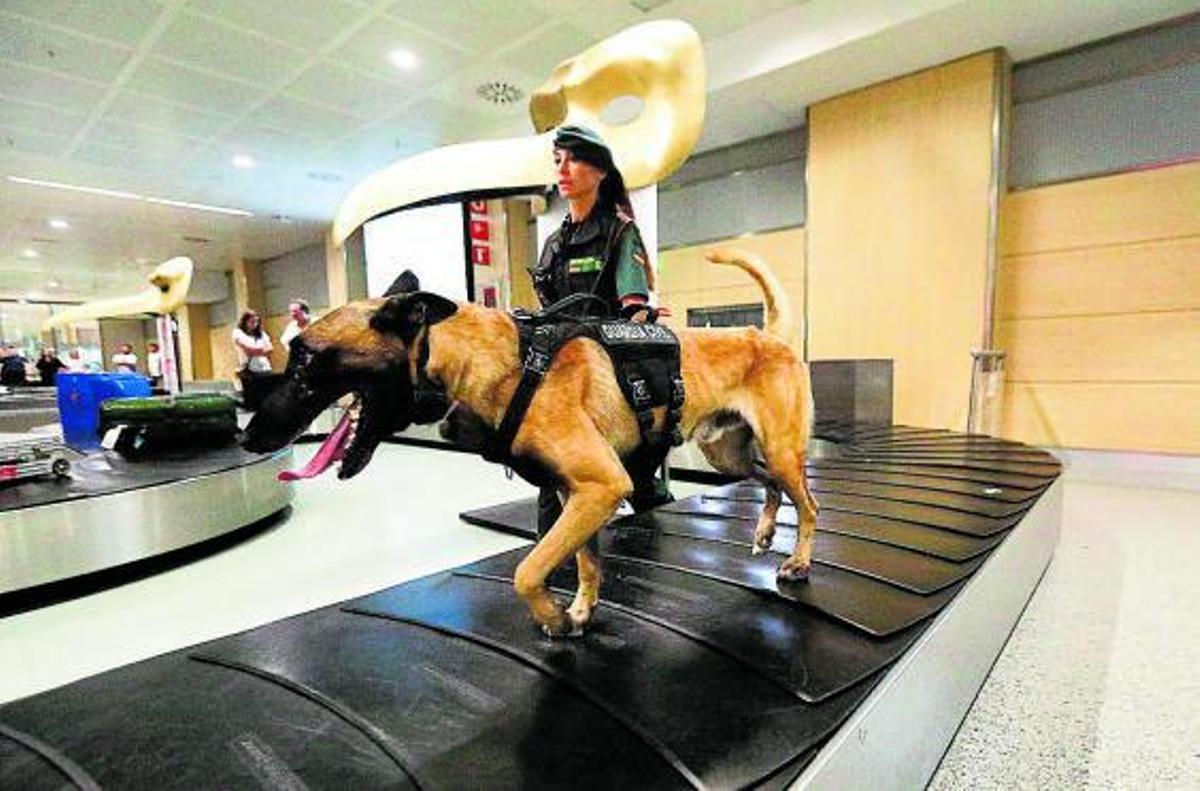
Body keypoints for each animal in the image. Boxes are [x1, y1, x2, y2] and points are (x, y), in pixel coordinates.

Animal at [247, 250, 820, 638]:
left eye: (304, 357)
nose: (250, 438)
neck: (509, 362)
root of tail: (766, 334)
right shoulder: (577, 494)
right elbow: (585, 562)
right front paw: (581, 611)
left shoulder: (600, 486)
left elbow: (527, 570)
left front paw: (554, 616)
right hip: (730, 455)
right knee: (769, 485)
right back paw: (766, 531)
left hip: (781, 452)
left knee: (808, 504)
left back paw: (797, 562)